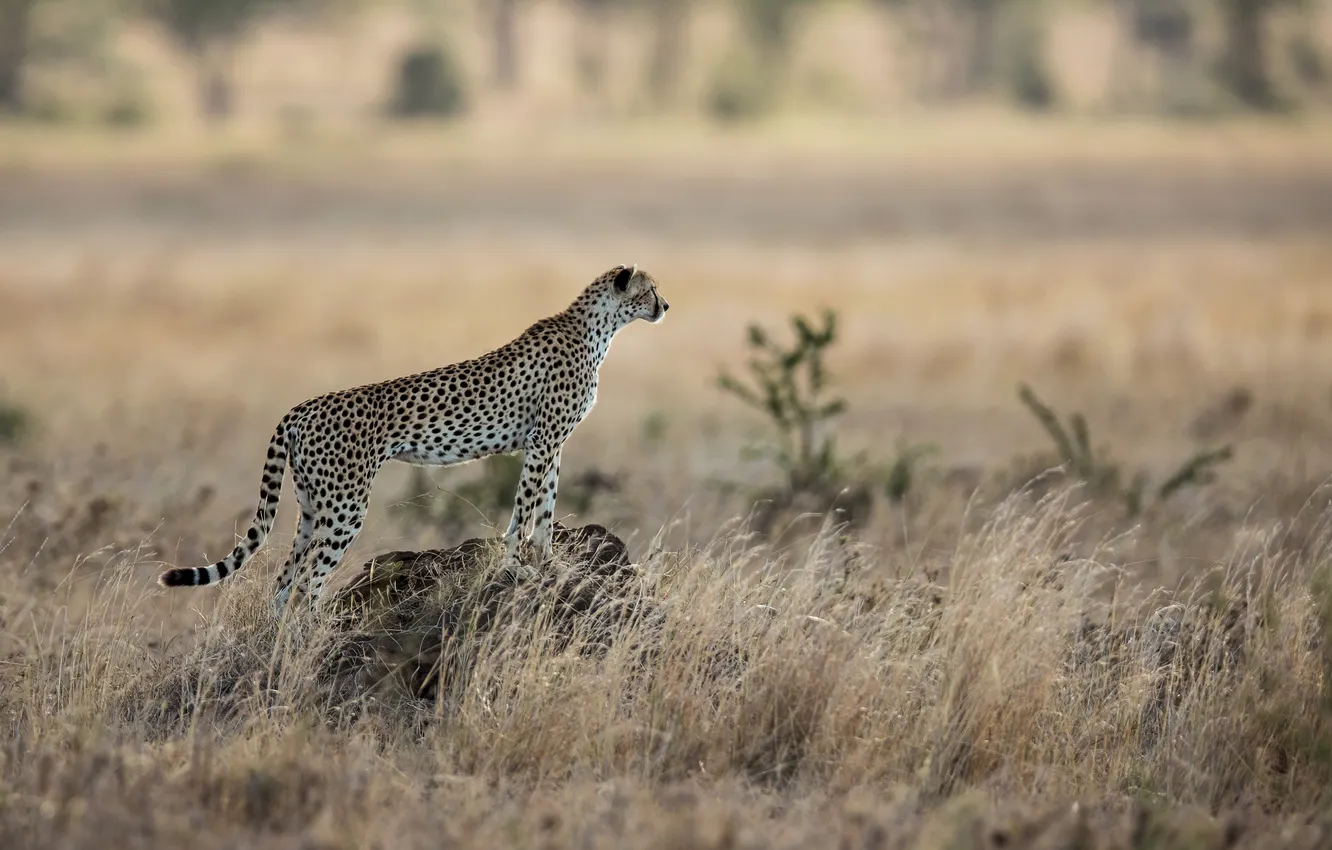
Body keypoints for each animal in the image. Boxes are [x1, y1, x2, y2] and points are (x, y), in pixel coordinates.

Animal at [158, 264, 668, 613]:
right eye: (650, 289)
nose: (665, 306)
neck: (597, 329)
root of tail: (301, 407)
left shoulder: (550, 444)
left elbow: (544, 507)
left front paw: (547, 564)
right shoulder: (543, 441)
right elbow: (525, 507)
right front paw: (516, 565)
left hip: (312, 507)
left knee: (284, 581)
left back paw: (280, 646)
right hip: (344, 506)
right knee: (307, 582)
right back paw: (312, 638)